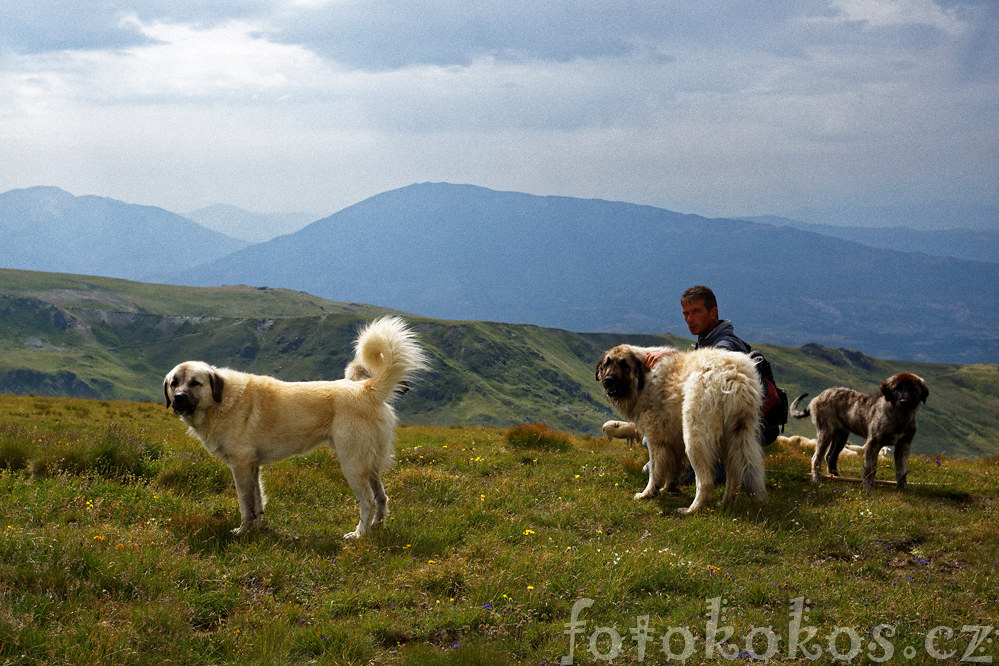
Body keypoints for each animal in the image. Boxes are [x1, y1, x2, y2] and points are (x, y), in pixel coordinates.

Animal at [163, 314, 426, 536]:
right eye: (174, 383)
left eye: (195, 383)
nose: (178, 399)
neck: (221, 400)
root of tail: (367, 388)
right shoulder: (253, 466)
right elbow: (257, 501)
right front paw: (257, 528)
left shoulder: (240, 466)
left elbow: (245, 503)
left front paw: (243, 531)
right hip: (369, 464)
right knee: (382, 497)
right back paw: (377, 528)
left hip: (353, 462)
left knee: (368, 500)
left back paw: (359, 534)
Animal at [792, 374, 932, 488]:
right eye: (896, 388)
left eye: (913, 390)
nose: (904, 402)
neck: (900, 416)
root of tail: (817, 397)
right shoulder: (874, 442)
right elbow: (870, 467)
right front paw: (868, 487)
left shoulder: (904, 444)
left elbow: (902, 469)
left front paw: (902, 488)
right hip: (826, 432)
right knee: (816, 457)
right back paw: (817, 479)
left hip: (841, 436)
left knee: (831, 456)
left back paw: (836, 476)